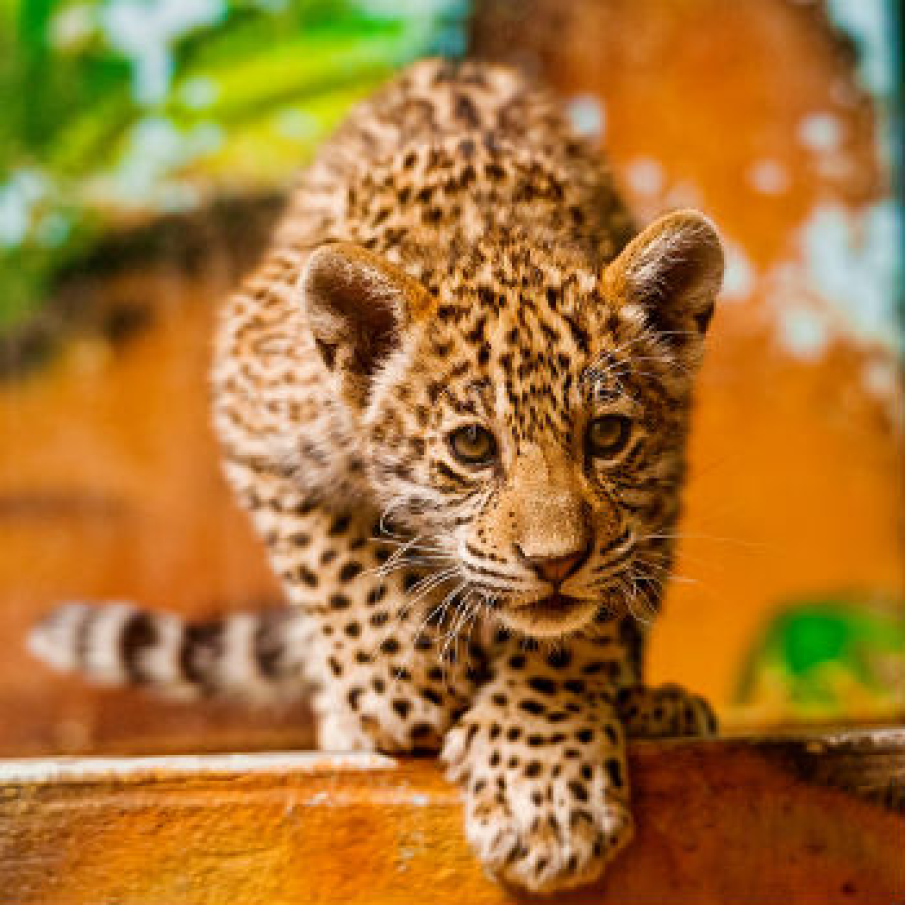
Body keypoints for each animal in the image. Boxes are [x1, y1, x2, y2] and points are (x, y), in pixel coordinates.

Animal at [29, 59, 723, 892]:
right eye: (472, 445)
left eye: (608, 435)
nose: (554, 562)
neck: (495, 237)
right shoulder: (248, 401)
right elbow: (333, 563)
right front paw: (401, 683)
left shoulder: (652, 494)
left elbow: (581, 627)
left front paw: (544, 775)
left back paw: (654, 706)